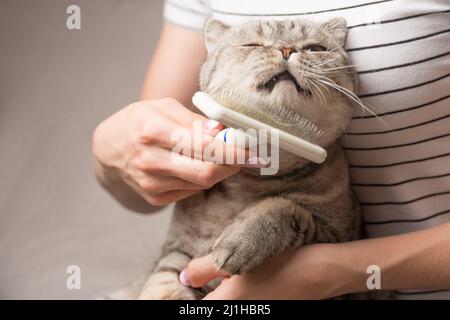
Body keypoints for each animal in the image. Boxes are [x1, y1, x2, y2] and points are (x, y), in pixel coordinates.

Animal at [137, 16, 362, 298]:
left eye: (315, 48)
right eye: (252, 44)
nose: (286, 49)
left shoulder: (338, 238)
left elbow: (282, 207)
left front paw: (241, 241)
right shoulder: (176, 253)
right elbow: (162, 286)